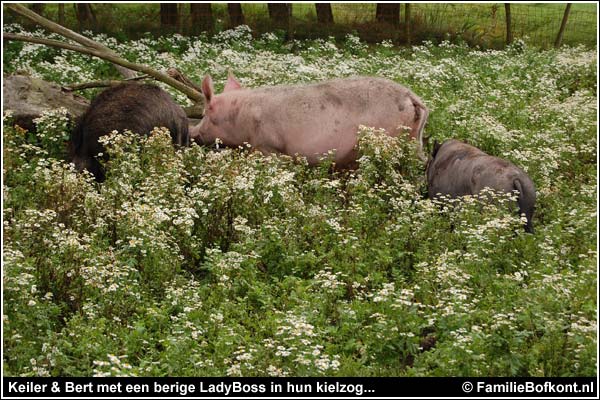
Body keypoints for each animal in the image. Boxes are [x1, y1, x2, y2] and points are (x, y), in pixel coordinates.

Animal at [190, 73, 428, 166]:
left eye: (204, 115)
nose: (191, 132)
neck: (241, 117)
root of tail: (412, 97)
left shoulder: (267, 145)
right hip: (414, 140)